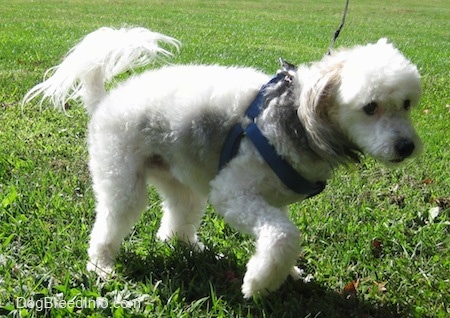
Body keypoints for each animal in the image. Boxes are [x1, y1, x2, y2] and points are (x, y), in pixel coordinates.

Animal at [22, 26, 422, 298]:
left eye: (406, 103)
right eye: (370, 107)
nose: (406, 146)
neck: (297, 118)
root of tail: (103, 100)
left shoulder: (270, 200)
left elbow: (280, 235)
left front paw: (286, 273)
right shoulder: (235, 193)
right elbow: (284, 235)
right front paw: (260, 283)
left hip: (179, 177)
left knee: (176, 219)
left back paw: (190, 247)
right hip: (122, 178)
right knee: (110, 223)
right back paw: (102, 266)